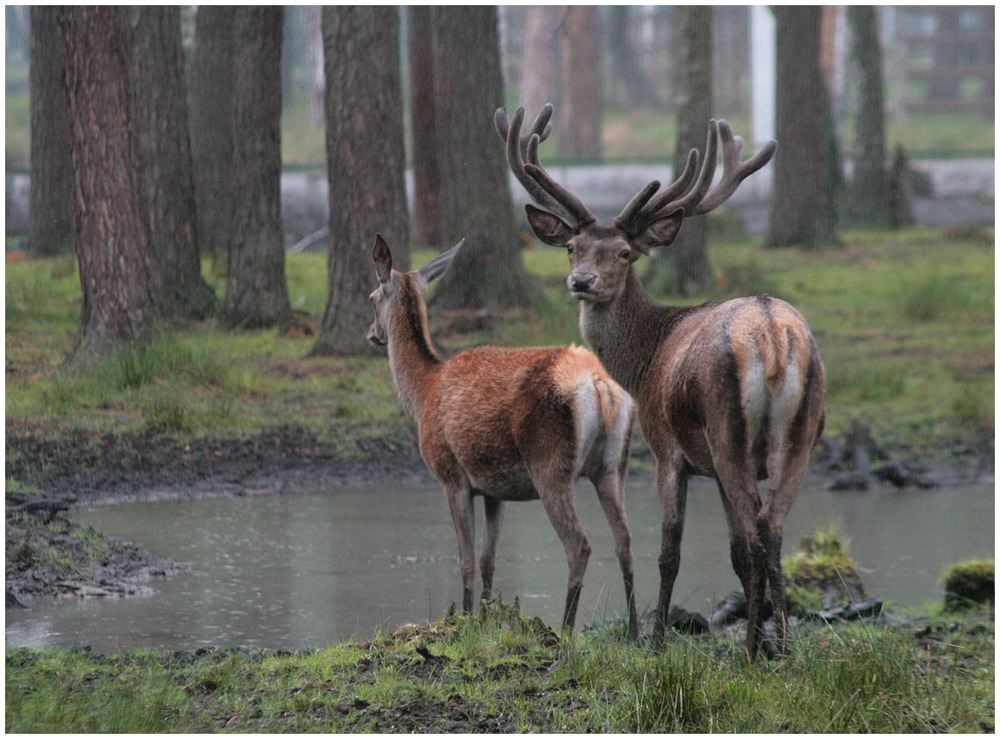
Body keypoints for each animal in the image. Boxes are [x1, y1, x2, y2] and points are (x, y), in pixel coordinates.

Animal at [368, 234, 640, 640]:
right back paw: (638, 634)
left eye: (371, 298)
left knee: (579, 546)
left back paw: (564, 632)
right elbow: (488, 560)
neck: (423, 394)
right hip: (613, 465)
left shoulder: (451, 476)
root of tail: (599, 385)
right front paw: (485, 618)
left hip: (551, 462)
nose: (372, 335)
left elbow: (465, 558)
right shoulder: (494, 489)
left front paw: (464, 621)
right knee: (625, 541)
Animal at [494, 105, 828, 660]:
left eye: (626, 253)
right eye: (572, 247)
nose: (581, 282)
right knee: (775, 530)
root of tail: (774, 337)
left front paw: (654, 641)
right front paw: (763, 637)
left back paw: (751, 653)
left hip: (726, 428)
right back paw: (780, 646)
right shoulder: (709, 466)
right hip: (799, 434)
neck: (644, 361)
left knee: (760, 530)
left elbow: (670, 551)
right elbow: (734, 555)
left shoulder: (667, 448)